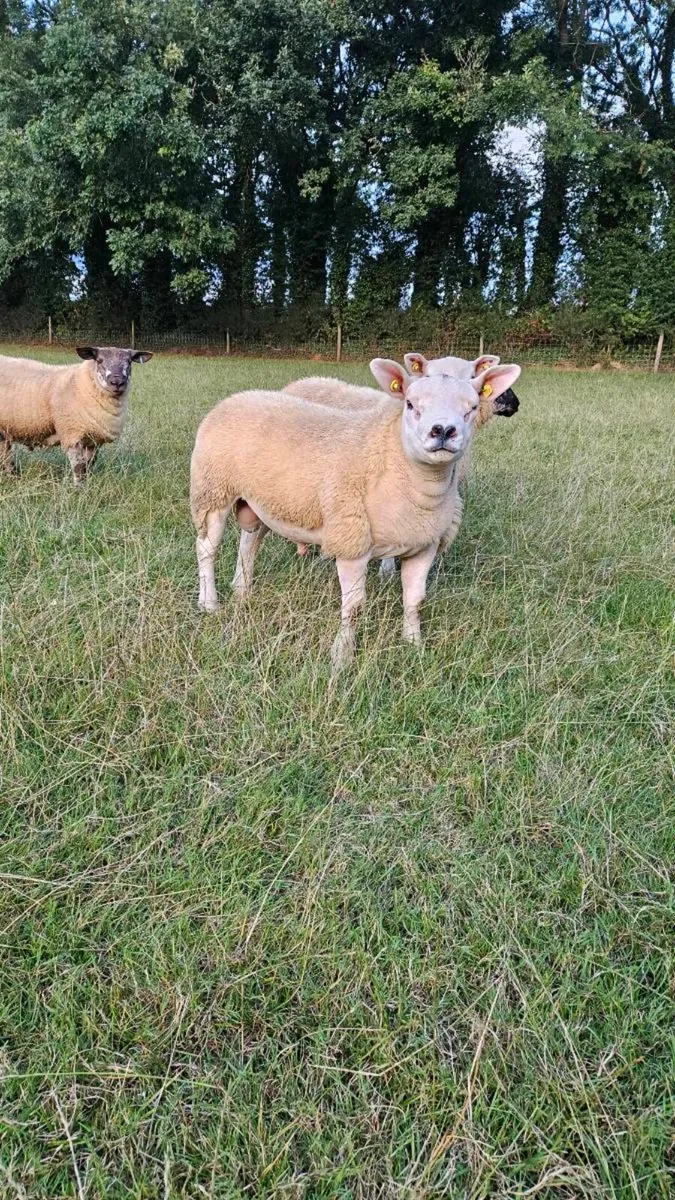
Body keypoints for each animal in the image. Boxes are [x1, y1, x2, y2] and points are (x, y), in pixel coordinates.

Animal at [0, 345, 153, 484]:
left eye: (129, 361)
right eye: (99, 360)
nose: (117, 382)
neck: (81, 383)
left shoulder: (93, 440)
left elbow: (89, 465)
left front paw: (88, 485)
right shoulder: (72, 433)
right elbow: (79, 467)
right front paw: (79, 489)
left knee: (5, 454)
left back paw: (12, 477)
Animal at [190, 358, 521, 670]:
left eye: (472, 406)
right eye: (410, 404)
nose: (442, 431)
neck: (394, 458)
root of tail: (236, 397)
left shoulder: (424, 544)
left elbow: (415, 601)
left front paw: (414, 645)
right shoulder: (353, 540)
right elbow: (354, 607)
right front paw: (342, 657)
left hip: (259, 501)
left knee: (249, 542)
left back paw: (242, 590)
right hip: (212, 490)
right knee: (207, 549)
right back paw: (209, 602)